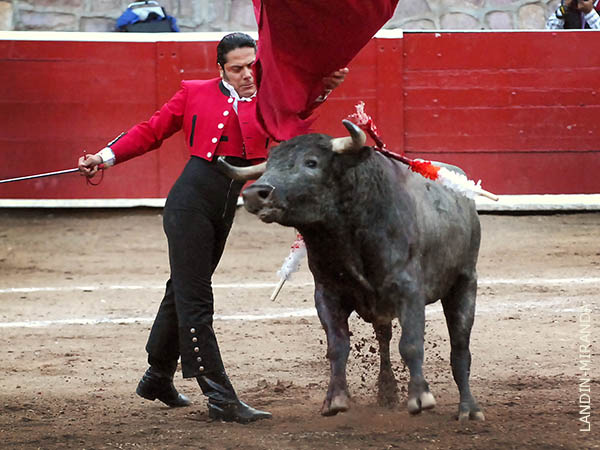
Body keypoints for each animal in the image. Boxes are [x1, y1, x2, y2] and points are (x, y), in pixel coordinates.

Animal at [218, 120, 486, 422]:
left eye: (311, 162)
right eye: (270, 164)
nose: (255, 193)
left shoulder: (409, 290)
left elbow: (411, 343)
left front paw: (420, 397)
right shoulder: (327, 294)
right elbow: (337, 346)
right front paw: (335, 399)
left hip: (464, 282)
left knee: (460, 347)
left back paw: (469, 409)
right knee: (384, 339)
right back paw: (387, 391)